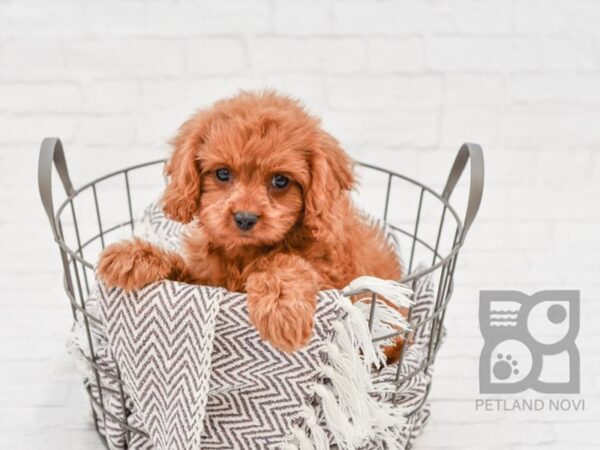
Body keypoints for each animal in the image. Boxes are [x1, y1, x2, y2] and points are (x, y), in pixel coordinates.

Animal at [98, 91, 406, 356]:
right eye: (223, 173)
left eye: (280, 180)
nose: (245, 218)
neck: (245, 253)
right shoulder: (205, 278)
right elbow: (179, 266)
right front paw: (133, 256)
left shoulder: (332, 277)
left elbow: (281, 262)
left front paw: (282, 307)